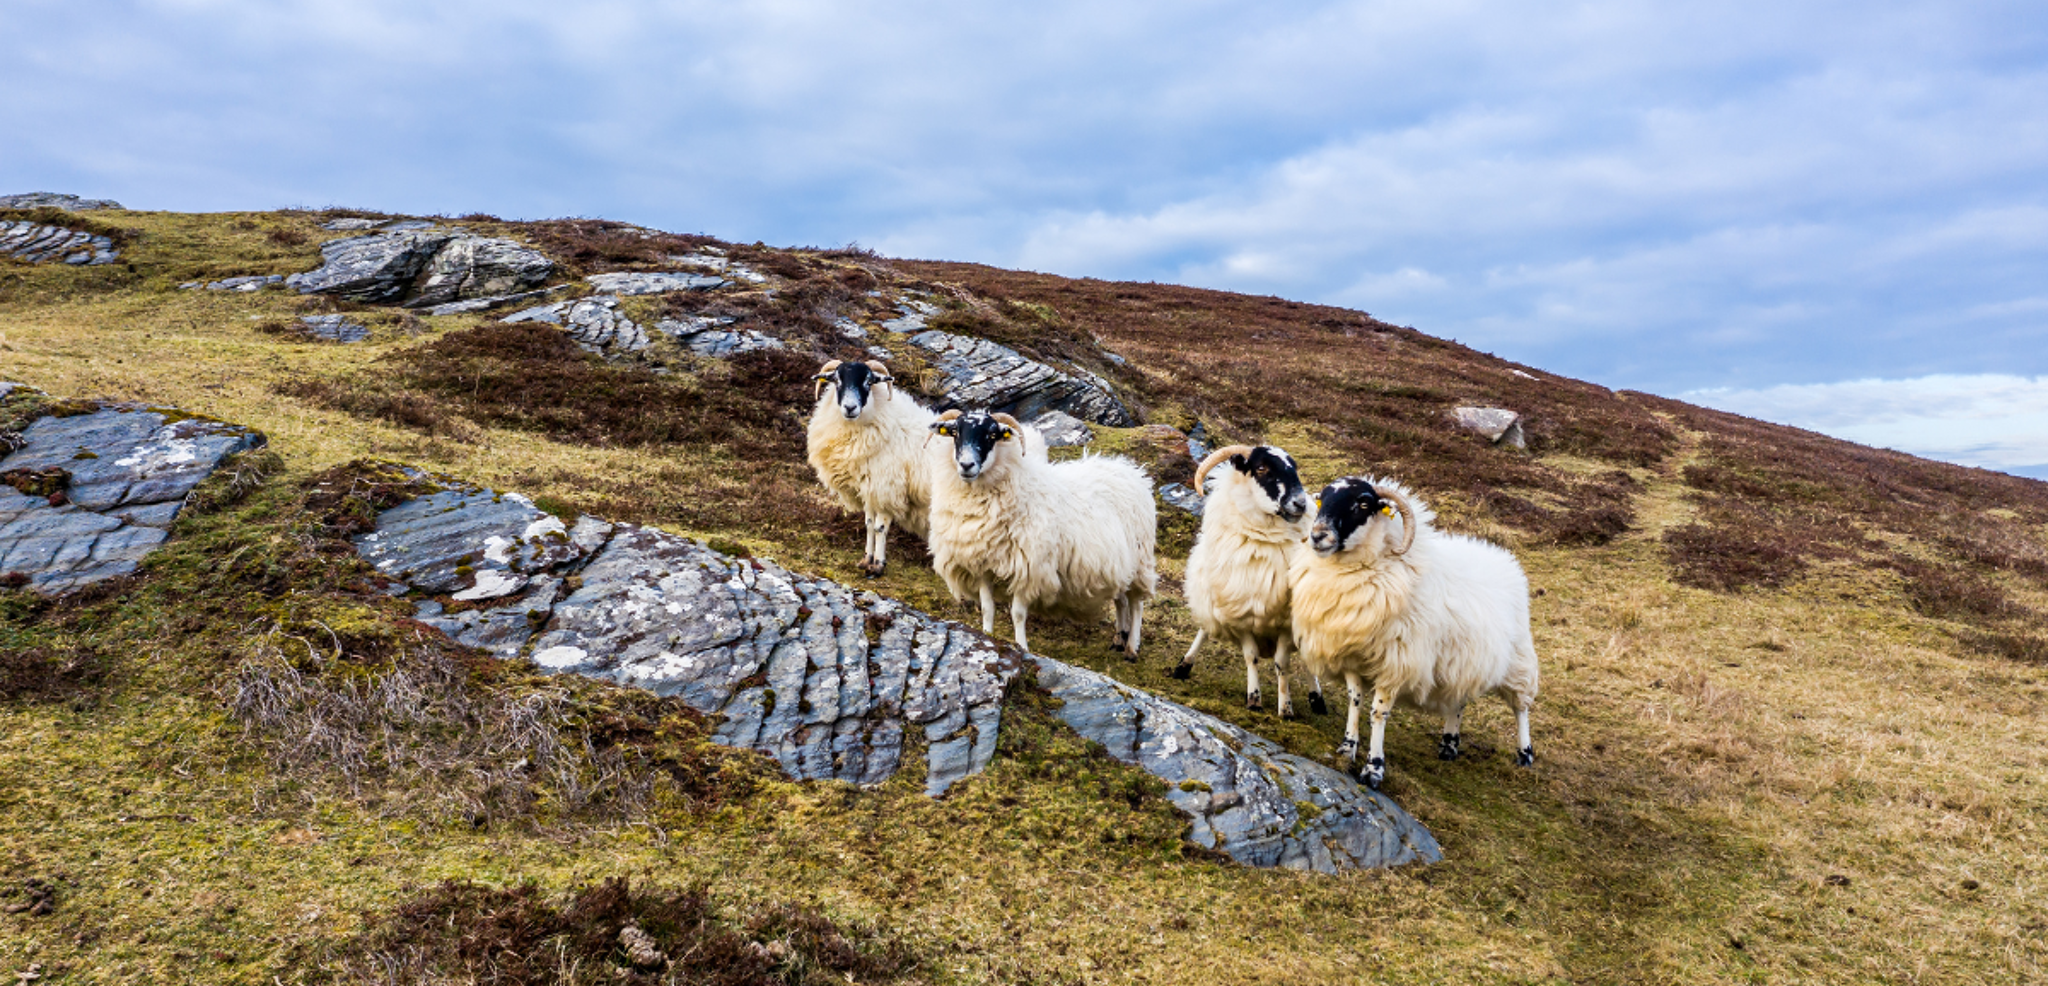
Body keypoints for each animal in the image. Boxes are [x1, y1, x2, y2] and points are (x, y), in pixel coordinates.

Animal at [805, 359, 935, 576]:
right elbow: (868, 525)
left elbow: (880, 528)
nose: (850, 407)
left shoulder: (886, 489)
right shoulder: (868, 488)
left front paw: (878, 566)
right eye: (837, 380)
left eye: (868, 381)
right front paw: (866, 560)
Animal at [924, 408, 1157, 655]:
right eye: (955, 432)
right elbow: (987, 608)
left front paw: (1021, 646)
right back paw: (1119, 638)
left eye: (992, 435)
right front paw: (986, 637)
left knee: (1137, 603)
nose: (966, 465)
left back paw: (1132, 647)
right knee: (1121, 599)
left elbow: (1017, 614)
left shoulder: (1028, 568)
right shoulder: (982, 566)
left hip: (1141, 559)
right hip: (1120, 564)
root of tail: (1130, 470)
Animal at [1172, 444, 1329, 718]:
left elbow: (1281, 664)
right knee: (1205, 628)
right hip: (1211, 596)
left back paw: (1317, 698)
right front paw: (1254, 699)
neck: (1264, 539)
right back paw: (1184, 665)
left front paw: (1285, 708)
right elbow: (1251, 657)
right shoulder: (1241, 615)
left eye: (1294, 468)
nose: (1300, 503)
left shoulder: (1287, 623)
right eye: (1262, 468)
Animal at [1289, 475, 1540, 789]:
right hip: (1463, 660)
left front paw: (1374, 768)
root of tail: (1503, 557)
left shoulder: (1395, 664)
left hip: (1518, 659)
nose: (1318, 536)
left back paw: (1525, 753)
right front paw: (1347, 749)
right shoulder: (1353, 658)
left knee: (1521, 707)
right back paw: (1449, 745)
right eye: (1322, 499)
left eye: (1363, 504)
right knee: (1459, 700)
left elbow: (1378, 713)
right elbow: (1354, 702)